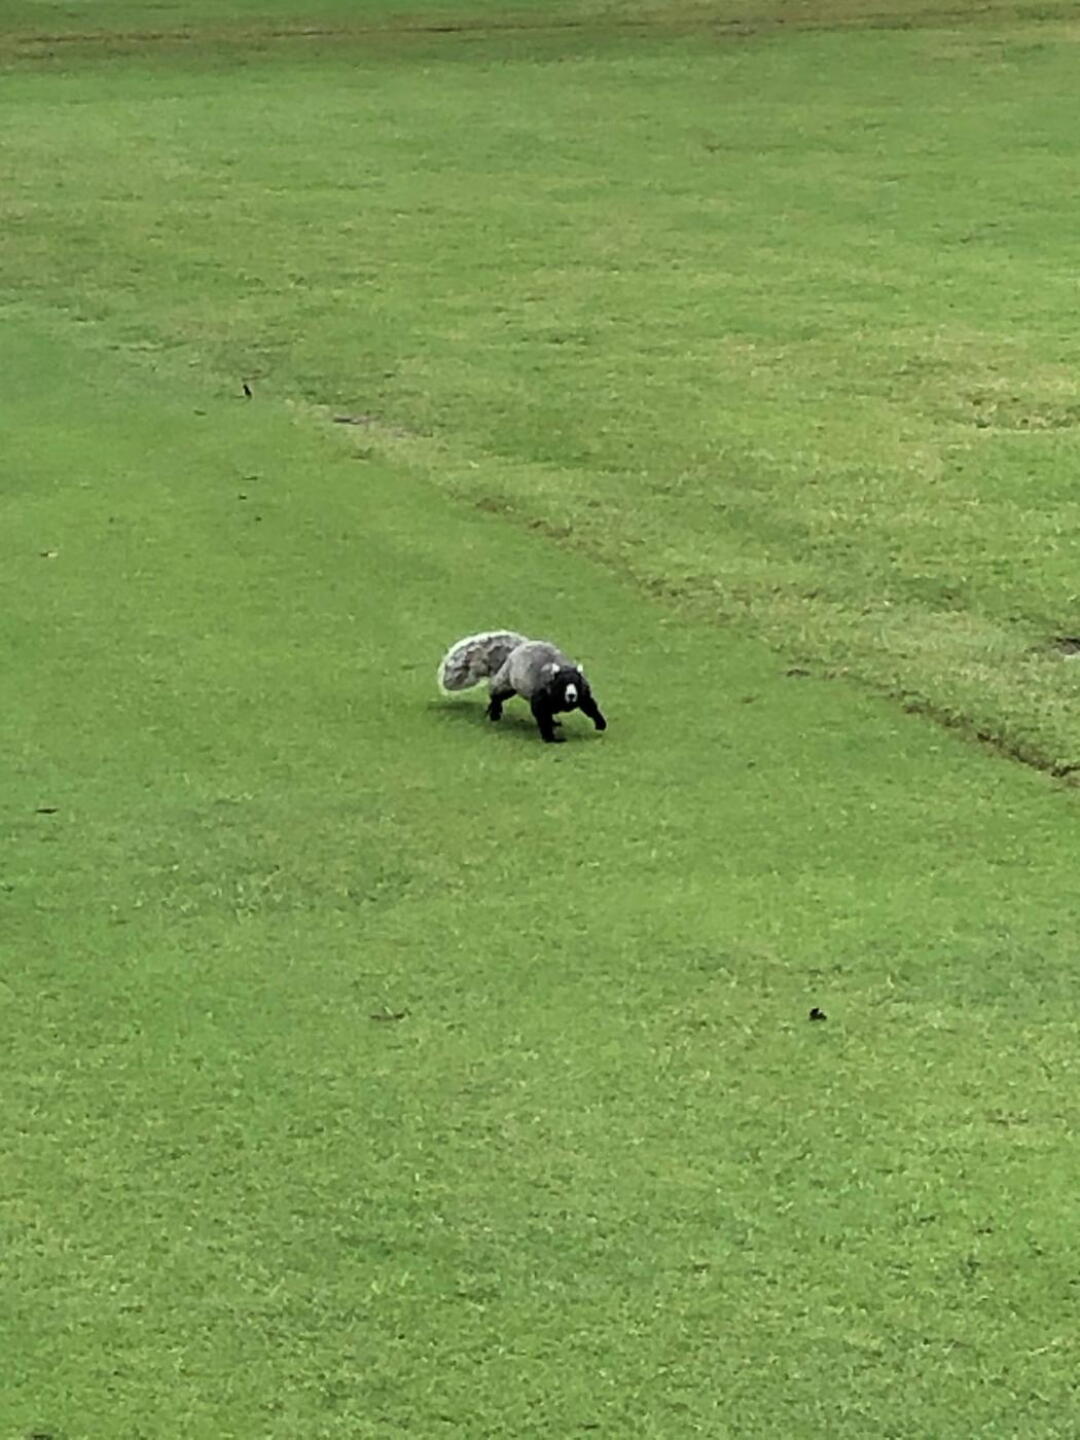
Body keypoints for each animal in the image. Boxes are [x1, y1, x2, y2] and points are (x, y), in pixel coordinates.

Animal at [437, 630, 607, 743]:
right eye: (561, 684)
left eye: (577, 683)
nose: (571, 695)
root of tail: (517, 649)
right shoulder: (540, 698)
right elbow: (542, 717)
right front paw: (550, 738)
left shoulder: (583, 694)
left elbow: (590, 706)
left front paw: (600, 723)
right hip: (506, 683)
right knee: (495, 694)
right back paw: (495, 711)